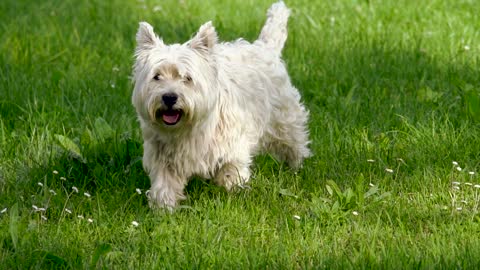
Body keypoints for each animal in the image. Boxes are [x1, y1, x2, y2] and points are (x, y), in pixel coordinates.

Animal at [132, 1, 312, 208]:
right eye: (157, 76)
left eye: (187, 78)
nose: (169, 97)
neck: (187, 130)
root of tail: (264, 47)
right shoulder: (162, 157)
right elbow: (164, 184)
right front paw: (163, 209)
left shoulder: (232, 148)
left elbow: (231, 174)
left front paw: (233, 198)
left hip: (284, 120)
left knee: (295, 143)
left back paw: (296, 167)